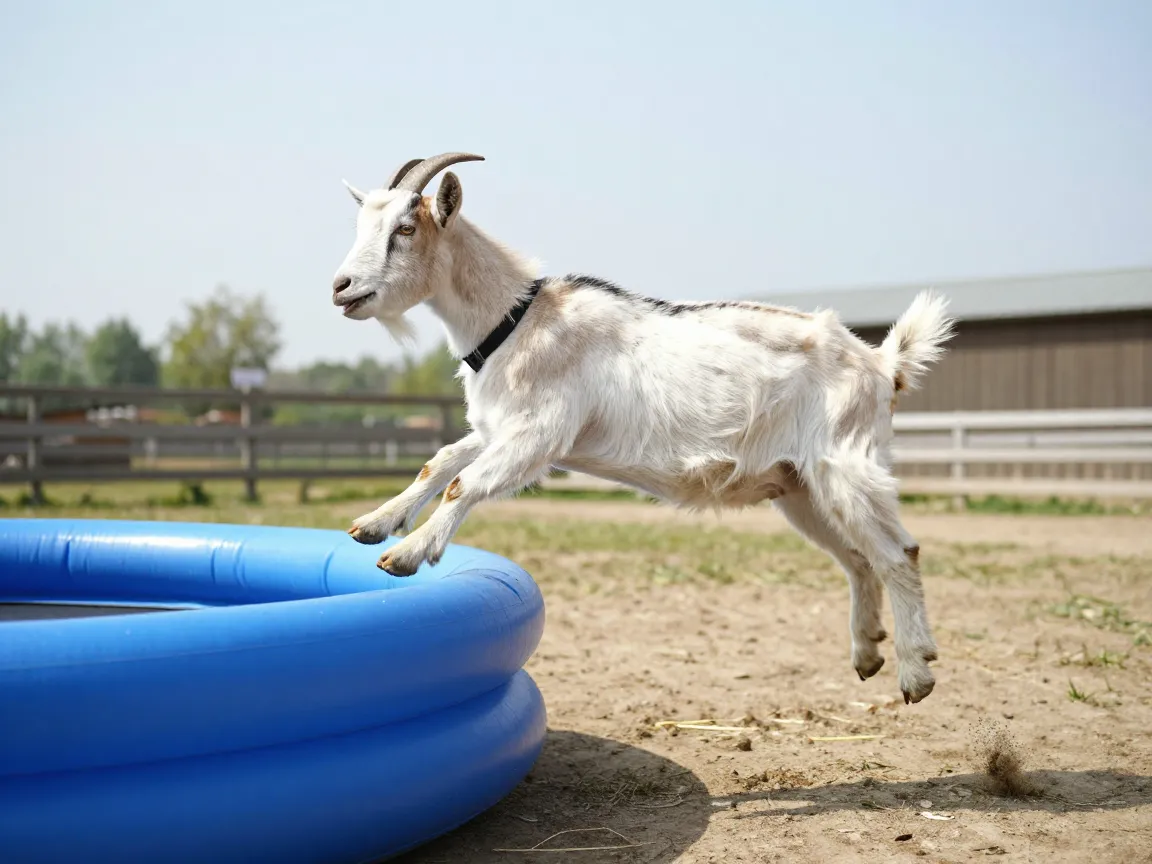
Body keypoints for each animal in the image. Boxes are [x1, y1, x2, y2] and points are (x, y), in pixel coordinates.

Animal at [331, 152, 956, 704]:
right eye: (364, 225)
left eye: (405, 228)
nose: (341, 287)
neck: (517, 321)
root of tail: (882, 364)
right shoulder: (497, 429)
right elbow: (439, 462)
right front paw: (373, 524)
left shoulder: (538, 434)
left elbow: (466, 484)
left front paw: (407, 553)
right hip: (800, 486)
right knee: (857, 558)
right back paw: (867, 652)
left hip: (845, 465)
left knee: (899, 553)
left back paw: (916, 673)